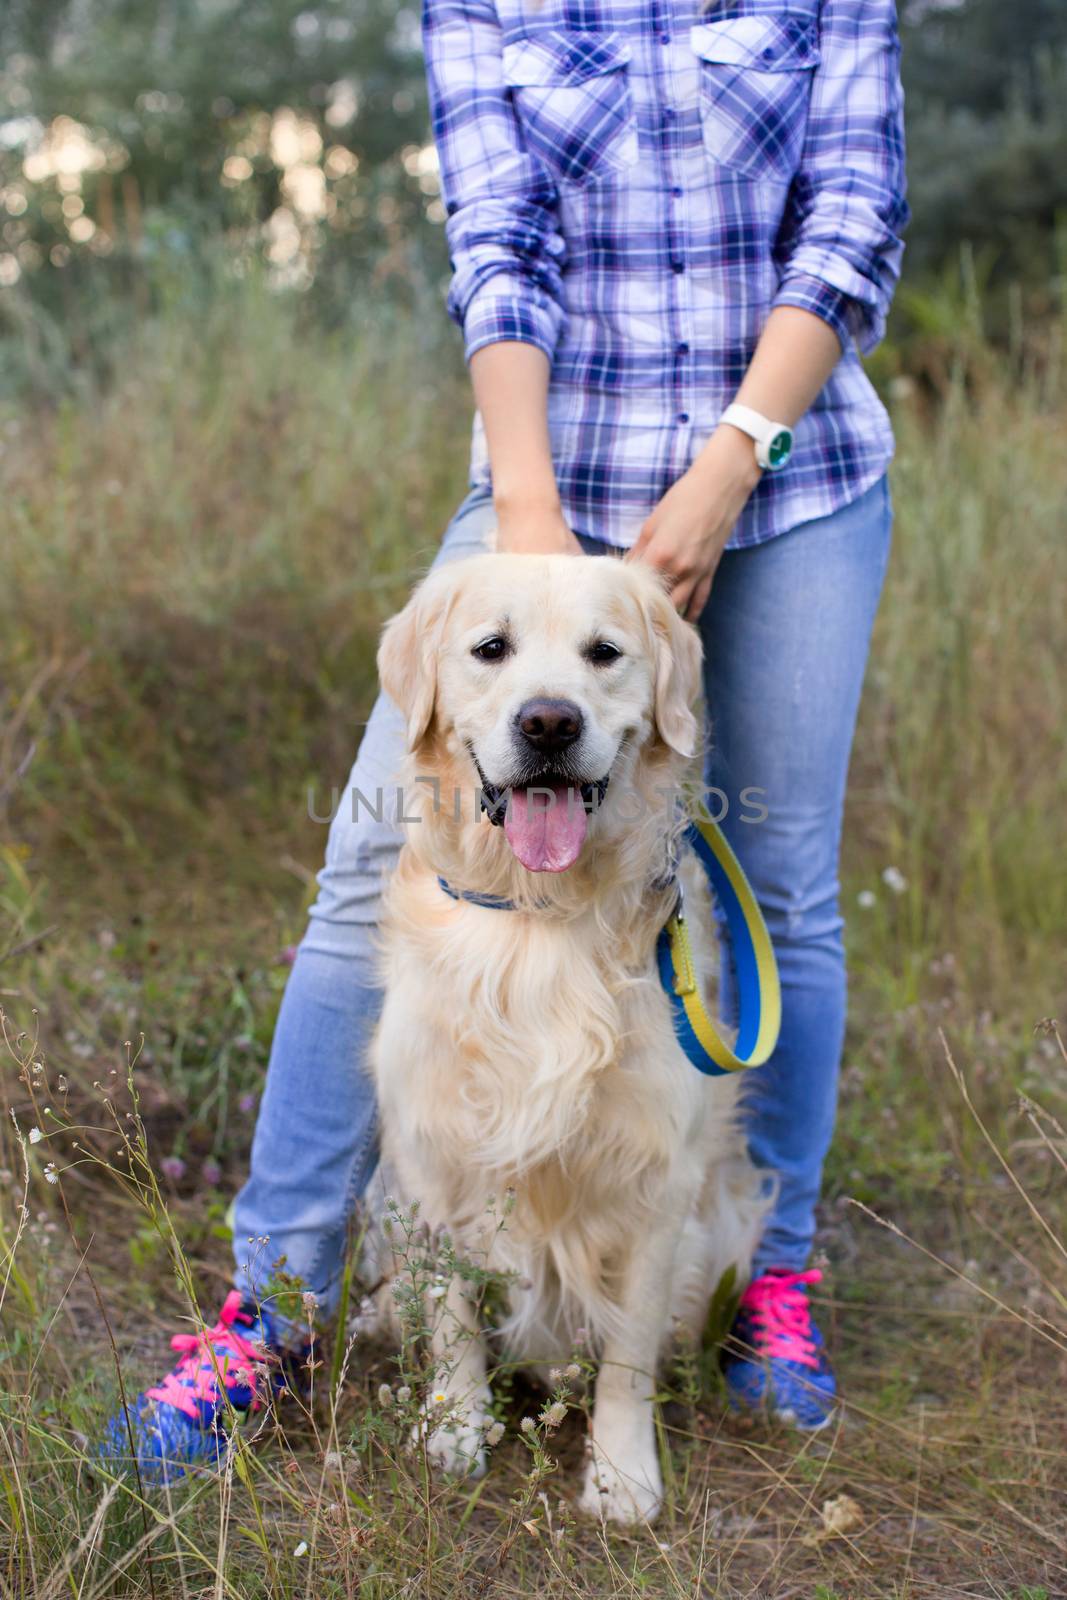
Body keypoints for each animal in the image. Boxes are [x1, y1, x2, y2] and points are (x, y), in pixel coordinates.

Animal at [371, 553, 764, 1523]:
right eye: (490, 648)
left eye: (603, 653)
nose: (548, 721)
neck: (539, 918)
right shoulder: (434, 1157)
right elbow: (453, 1317)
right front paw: (454, 1431)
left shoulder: (659, 1184)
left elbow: (626, 1356)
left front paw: (623, 1476)